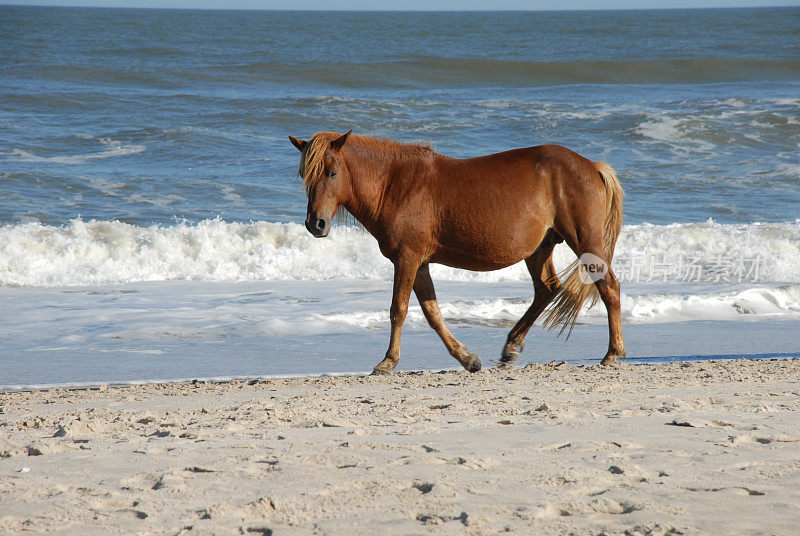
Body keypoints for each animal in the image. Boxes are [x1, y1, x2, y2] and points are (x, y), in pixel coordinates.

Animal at [290, 131, 624, 372]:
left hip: (583, 241)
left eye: (332, 173)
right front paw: (467, 358)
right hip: (539, 249)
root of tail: (591, 166)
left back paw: (612, 353)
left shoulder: (407, 259)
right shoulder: (419, 263)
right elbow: (432, 313)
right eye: (306, 176)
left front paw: (387, 362)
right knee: (546, 289)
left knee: (609, 286)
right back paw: (511, 347)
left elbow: (398, 310)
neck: (395, 184)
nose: (315, 224)